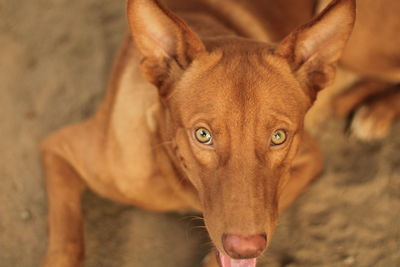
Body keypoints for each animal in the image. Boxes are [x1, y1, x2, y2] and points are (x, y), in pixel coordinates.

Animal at [42, 0, 356, 267]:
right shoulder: (59, 148)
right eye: (203, 135)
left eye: (279, 137)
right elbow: (67, 243)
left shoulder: (310, 158)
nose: (245, 248)